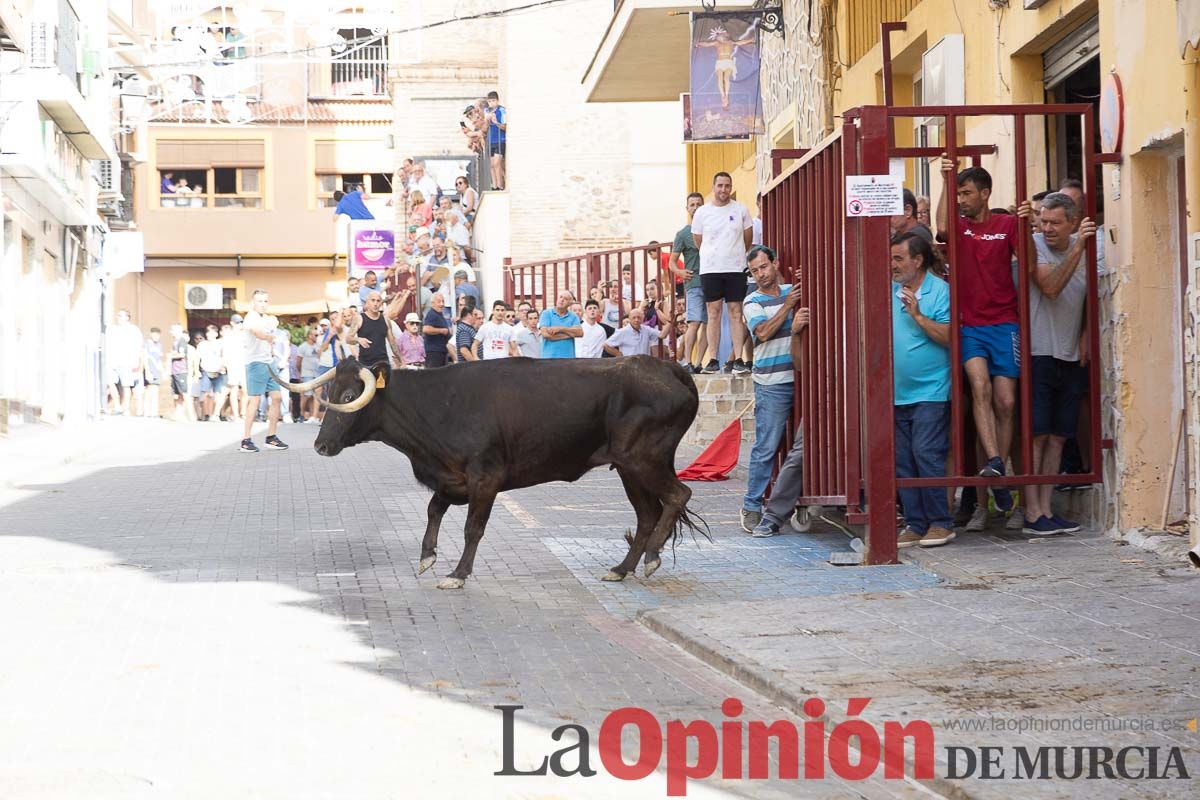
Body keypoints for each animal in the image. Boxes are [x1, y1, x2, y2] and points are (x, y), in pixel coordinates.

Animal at [309, 357, 705, 587]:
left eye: (348, 397)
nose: (320, 445)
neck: (439, 404)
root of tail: (667, 367)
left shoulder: (486, 478)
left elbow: (473, 528)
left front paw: (457, 574)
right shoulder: (452, 480)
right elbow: (433, 509)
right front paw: (427, 556)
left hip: (643, 458)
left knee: (678, 495)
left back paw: (651, 558)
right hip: (627, 468)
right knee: (647, 514)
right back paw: (622, 568)